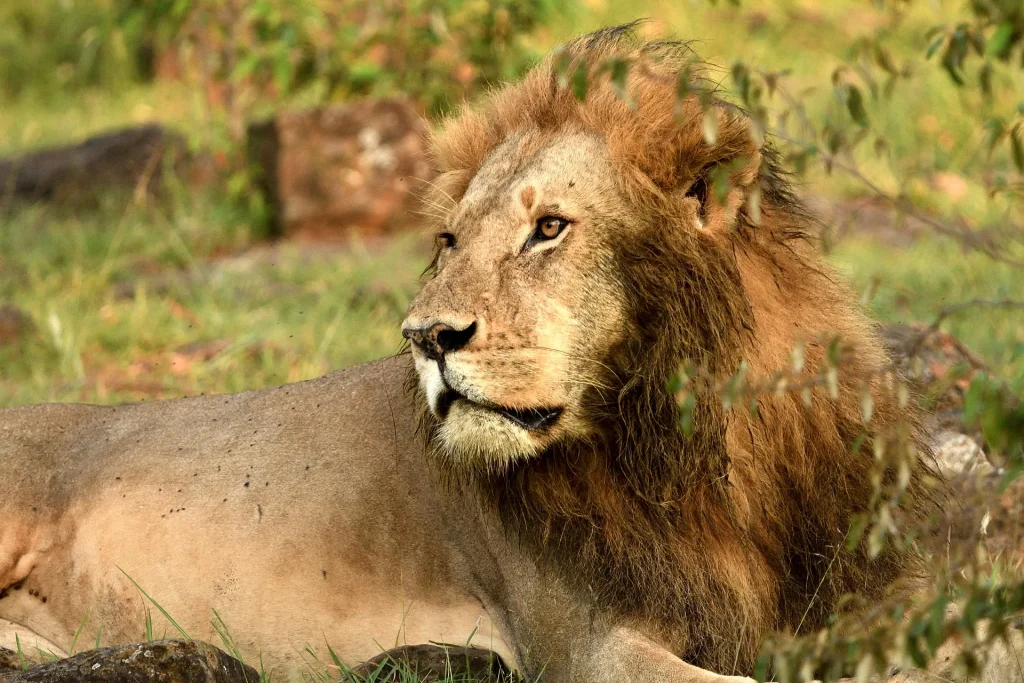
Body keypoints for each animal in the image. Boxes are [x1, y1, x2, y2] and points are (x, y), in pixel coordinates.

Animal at [0, 25, 992, 682]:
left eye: (548, 228)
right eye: (449, 240)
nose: (427, 338)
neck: (700, 446)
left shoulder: (858, 596)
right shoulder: (587, 642)